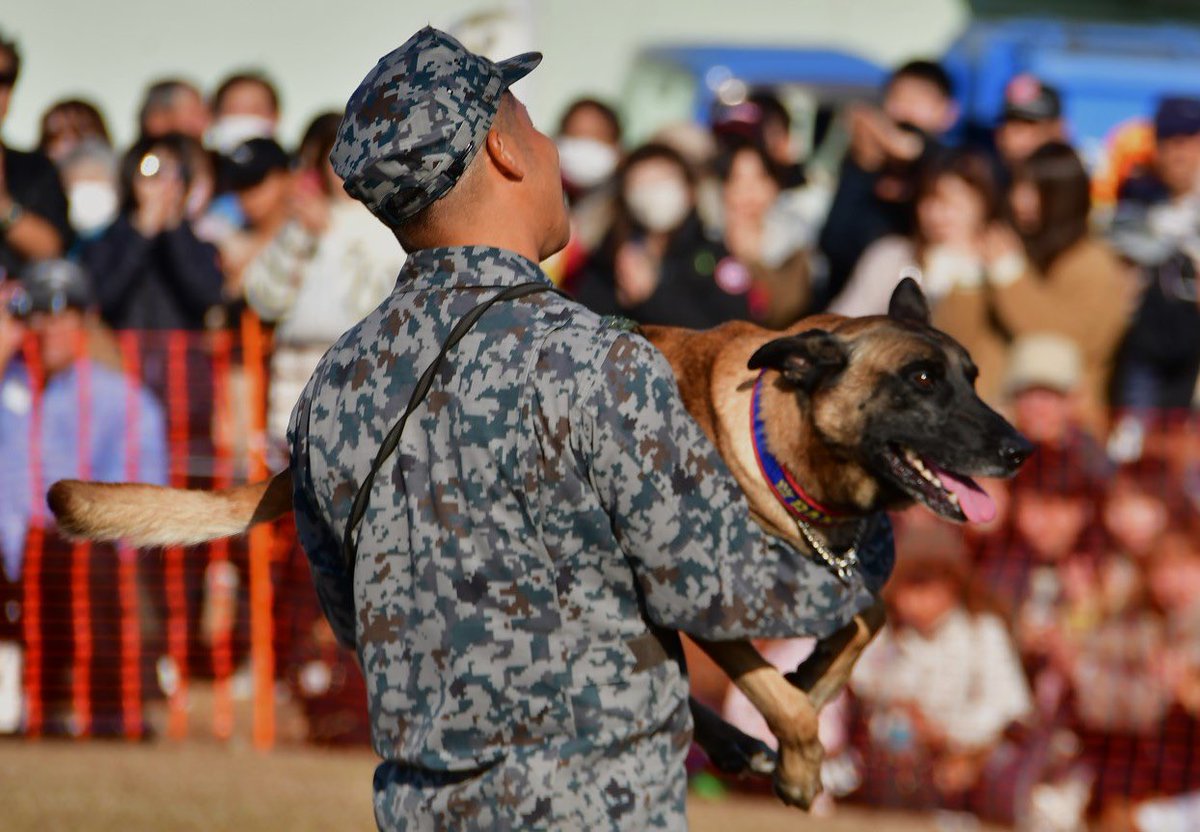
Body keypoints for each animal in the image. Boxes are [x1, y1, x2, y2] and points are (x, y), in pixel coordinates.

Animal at [49, 278, 1032, 806]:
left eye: (973, 375)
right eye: (920, 380)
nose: (1020, 448)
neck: (774, 435)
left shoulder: (824, 579)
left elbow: (855, 634)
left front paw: (809, 694)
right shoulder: (699, 592)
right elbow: (787, 698)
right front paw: (797, 760)